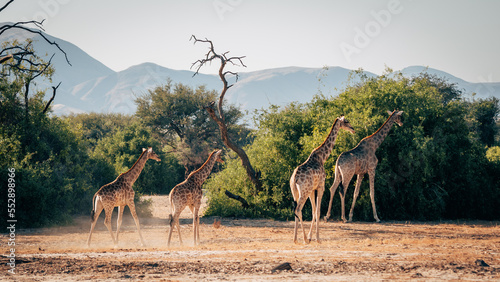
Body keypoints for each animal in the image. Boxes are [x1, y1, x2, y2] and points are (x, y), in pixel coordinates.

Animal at [290, 115, 356, 243]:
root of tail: (294, 178)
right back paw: (304, 239)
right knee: (298, 209)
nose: (353, 129)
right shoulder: (321, 186)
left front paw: (311, 237)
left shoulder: (312, 189)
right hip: (304, 191)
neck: (322, 157)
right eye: (346, 121)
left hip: (295, 191)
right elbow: (318, 211)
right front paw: (317, 238)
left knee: (295, 209)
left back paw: (295, 239)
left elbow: (314, 211)